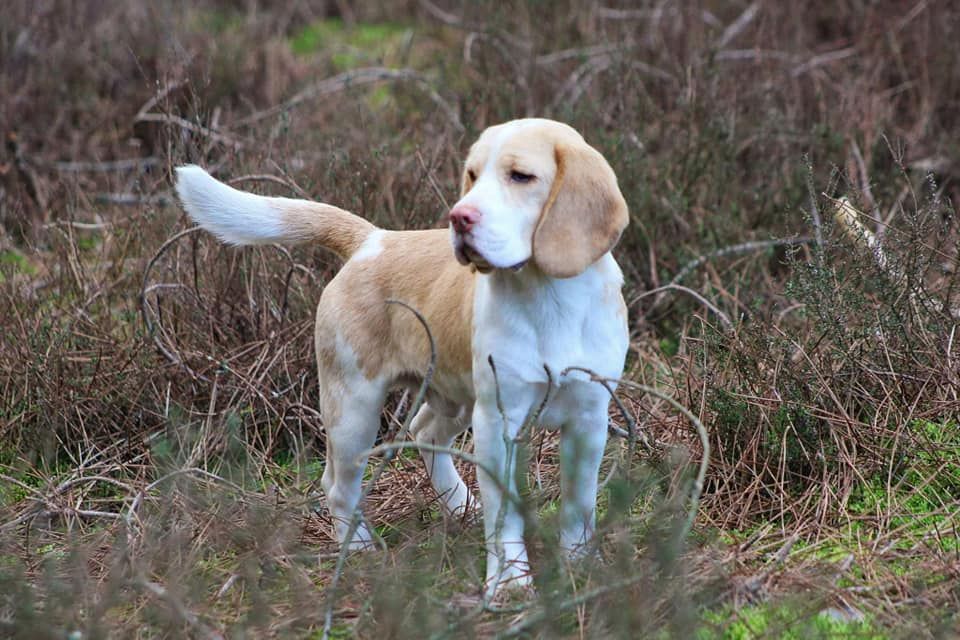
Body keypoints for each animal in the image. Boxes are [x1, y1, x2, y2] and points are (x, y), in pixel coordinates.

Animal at [174, 117, 632, 596]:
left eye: (521, 176)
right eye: (472, 175)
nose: (459, 218)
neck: (549, 297)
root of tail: (372, 240)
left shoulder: (589, 418)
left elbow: (579, 505)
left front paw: (580, 566)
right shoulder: (498, 421)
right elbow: (504, 515)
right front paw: (509, 584)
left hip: (454, 399)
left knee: (424, 431)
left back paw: (460, 506)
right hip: (355, 412)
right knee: (337, 484)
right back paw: (358, 548)